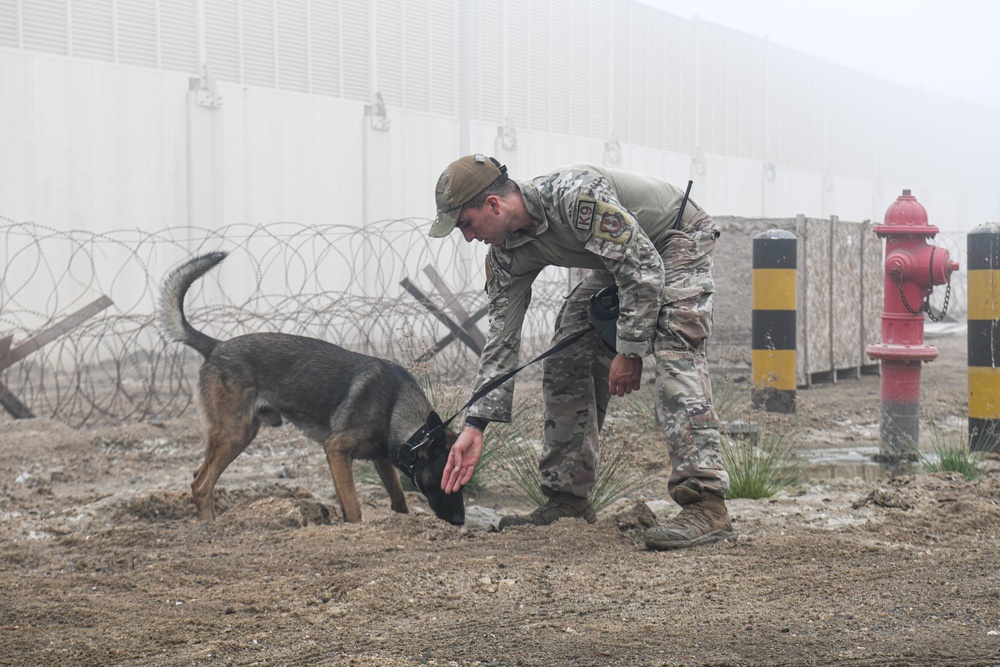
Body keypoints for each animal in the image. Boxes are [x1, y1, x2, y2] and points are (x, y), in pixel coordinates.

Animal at [158, 252, 466, 528]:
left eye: (463, 483)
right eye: (446, 480)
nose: (461, 520)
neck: (396, 406)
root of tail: (216, 345)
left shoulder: (379, 460)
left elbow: (398, 500)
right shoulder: (336, 451)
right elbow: (354, 509)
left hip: (242, 434)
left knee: (200, 478)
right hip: (233, 434)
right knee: (201, 484)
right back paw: (209, 526)